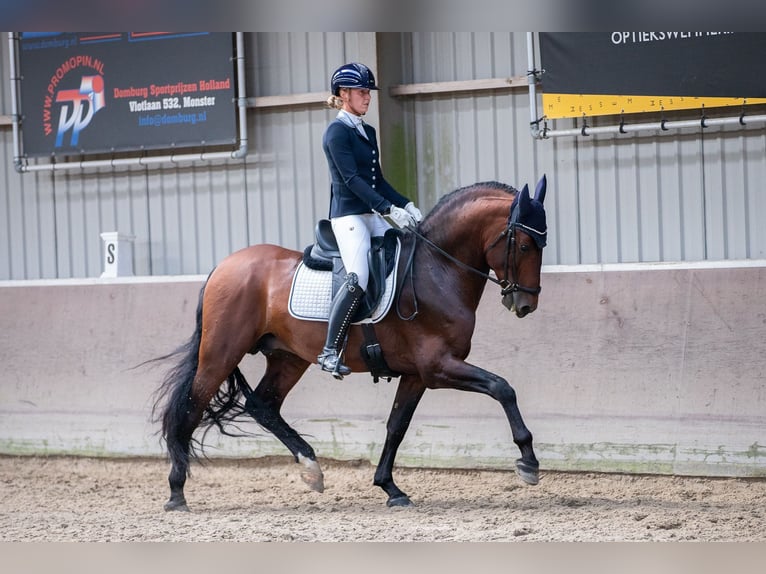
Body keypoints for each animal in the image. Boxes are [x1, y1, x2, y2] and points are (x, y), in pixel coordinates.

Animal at [153, 177, 548, 512]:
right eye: (523, 244)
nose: (525, 305)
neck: (437, 270)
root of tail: (222, 266)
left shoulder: (417, 375)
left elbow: (396, 426)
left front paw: (390, 488)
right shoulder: (438, 367)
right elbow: (502, 388)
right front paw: (528, 461)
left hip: (287, 357)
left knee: (262, 405)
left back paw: (311, 468)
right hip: (220, 353)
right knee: (191, 407)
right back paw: (176, 493)